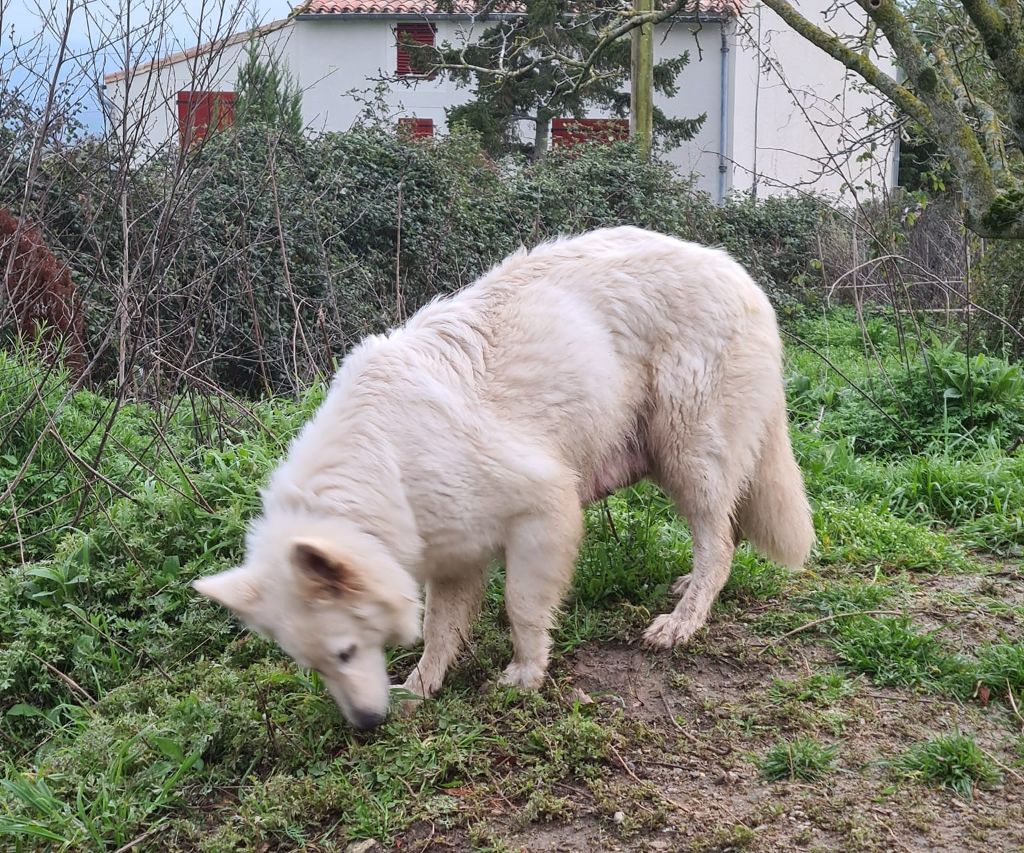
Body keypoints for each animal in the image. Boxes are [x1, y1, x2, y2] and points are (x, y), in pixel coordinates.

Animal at [195, 224, 811, 724]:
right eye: (318, 665)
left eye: (346, 651)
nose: (367, 725)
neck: (386, 459)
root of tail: (737, 273)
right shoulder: (452, 556)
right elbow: (440, 631)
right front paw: (420, 687)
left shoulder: (544, 510)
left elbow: (522, 606)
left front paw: (525, 676)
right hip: (667, 458)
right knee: (725, 533)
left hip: (688, 453)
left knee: (719, 542)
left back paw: (683, 620)